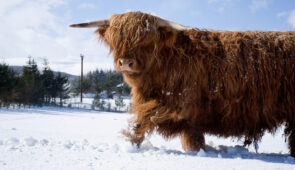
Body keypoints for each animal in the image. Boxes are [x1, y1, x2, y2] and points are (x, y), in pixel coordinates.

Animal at [70, 10, 295, 157]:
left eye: (146, 40)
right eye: (116, 38)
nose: (126, 62)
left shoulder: (178, 101)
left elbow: (144, 118)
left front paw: (130, 143)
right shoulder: (187, 115)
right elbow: (191, 137)